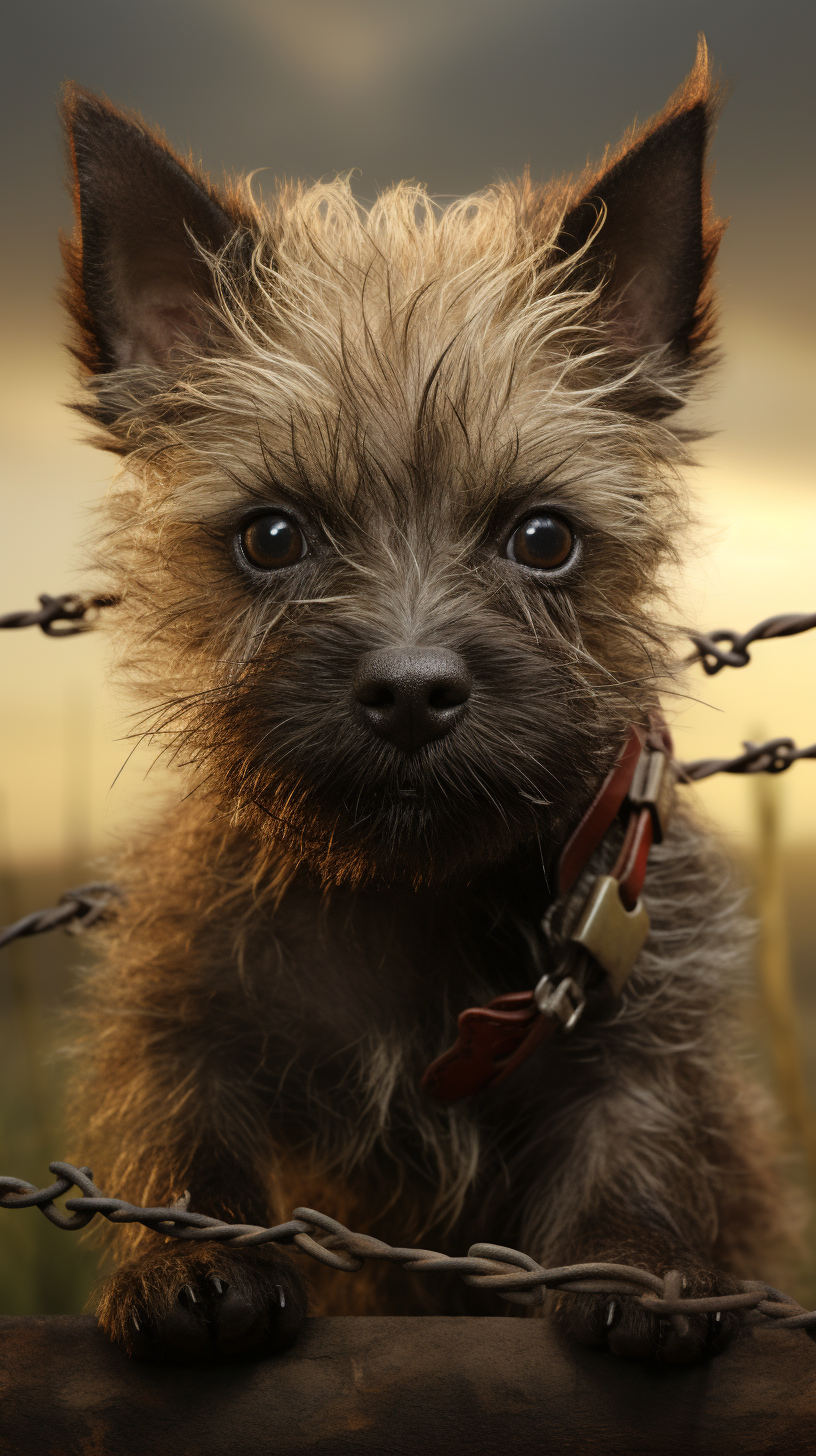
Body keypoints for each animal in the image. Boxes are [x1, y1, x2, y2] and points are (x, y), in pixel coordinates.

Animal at [60, 42, 786, 1362]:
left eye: (544, 538)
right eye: (272, 536)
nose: (409, 692)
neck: (406, 892)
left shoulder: (644, 1033)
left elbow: (642, 1143)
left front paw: (643, 1269)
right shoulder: (187, 1006)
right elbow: (180, 1129)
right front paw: (189, 1260)